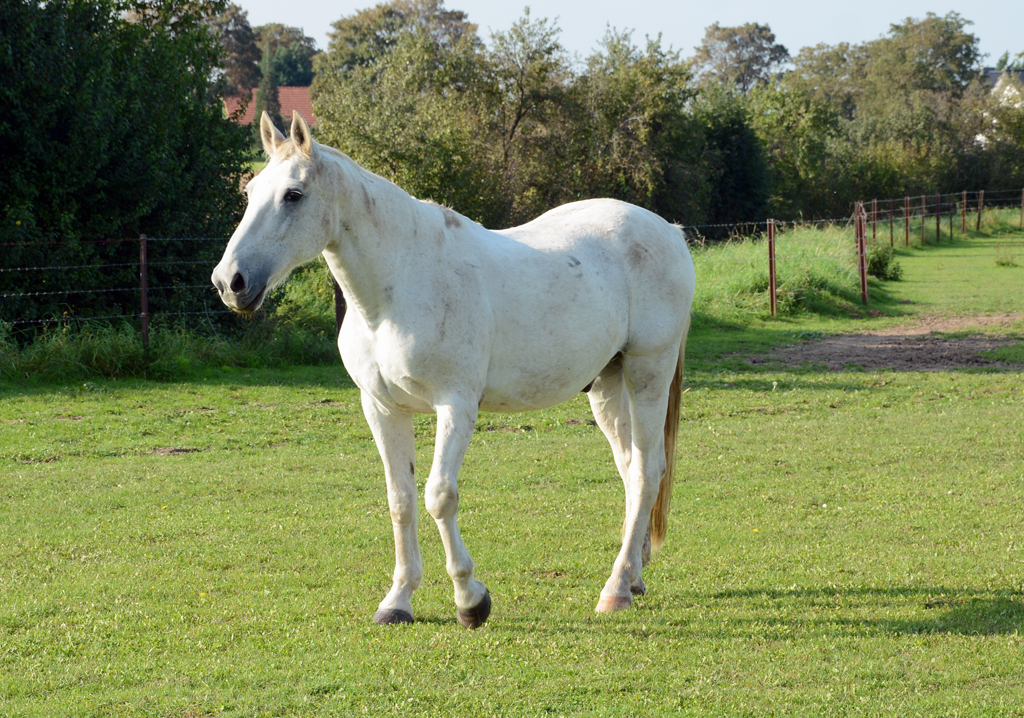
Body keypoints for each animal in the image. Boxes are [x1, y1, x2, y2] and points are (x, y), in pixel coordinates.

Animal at [215, 112, 696, 626]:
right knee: (631, 469)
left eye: (294, 194)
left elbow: (439, 496)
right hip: (606, 382)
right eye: (250, 192)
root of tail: (668, 229)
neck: (398, 287)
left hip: (648, 371)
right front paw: (397, 600)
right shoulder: (382, 408)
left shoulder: (457, 406)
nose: (230, 282)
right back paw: (634, 575)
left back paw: (615, 589)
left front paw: (470, 600)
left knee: (647, 470)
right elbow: (401, 501)